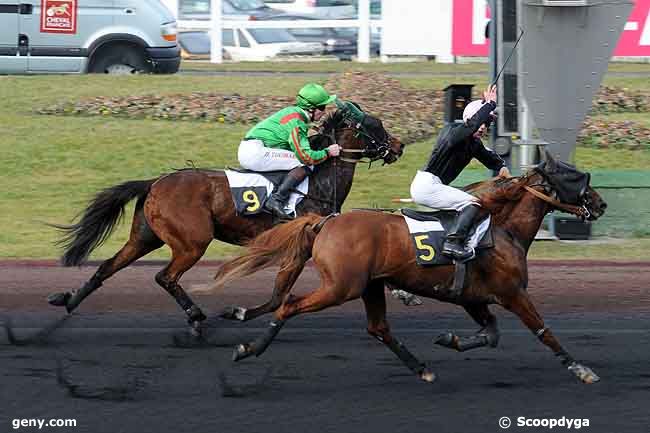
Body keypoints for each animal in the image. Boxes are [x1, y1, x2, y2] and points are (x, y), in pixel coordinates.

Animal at [45, 105, 400, 334]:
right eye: (375, 125)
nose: (398, 146)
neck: (320, 182)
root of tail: (155, 182)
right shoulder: (299, 247)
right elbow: (278, 295)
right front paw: (238, 313)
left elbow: (279, 295)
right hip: (192, 242)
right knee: (165, 277)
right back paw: (195, 316)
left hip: (145, 237)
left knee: (108, 267)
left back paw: (68, 300)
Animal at [210, 152, 604, 382]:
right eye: (573, 176)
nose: (599, 204)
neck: (502, 228)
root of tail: (326, 221)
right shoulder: (512, 293)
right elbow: (543, 331)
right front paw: (581, 368)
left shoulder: (473, 298)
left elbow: (491, 334)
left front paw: (450, 339)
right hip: (341, 287)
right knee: (290, 305)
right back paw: (250, 348)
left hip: (369, 286)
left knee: (378, 328)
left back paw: (421, 368)